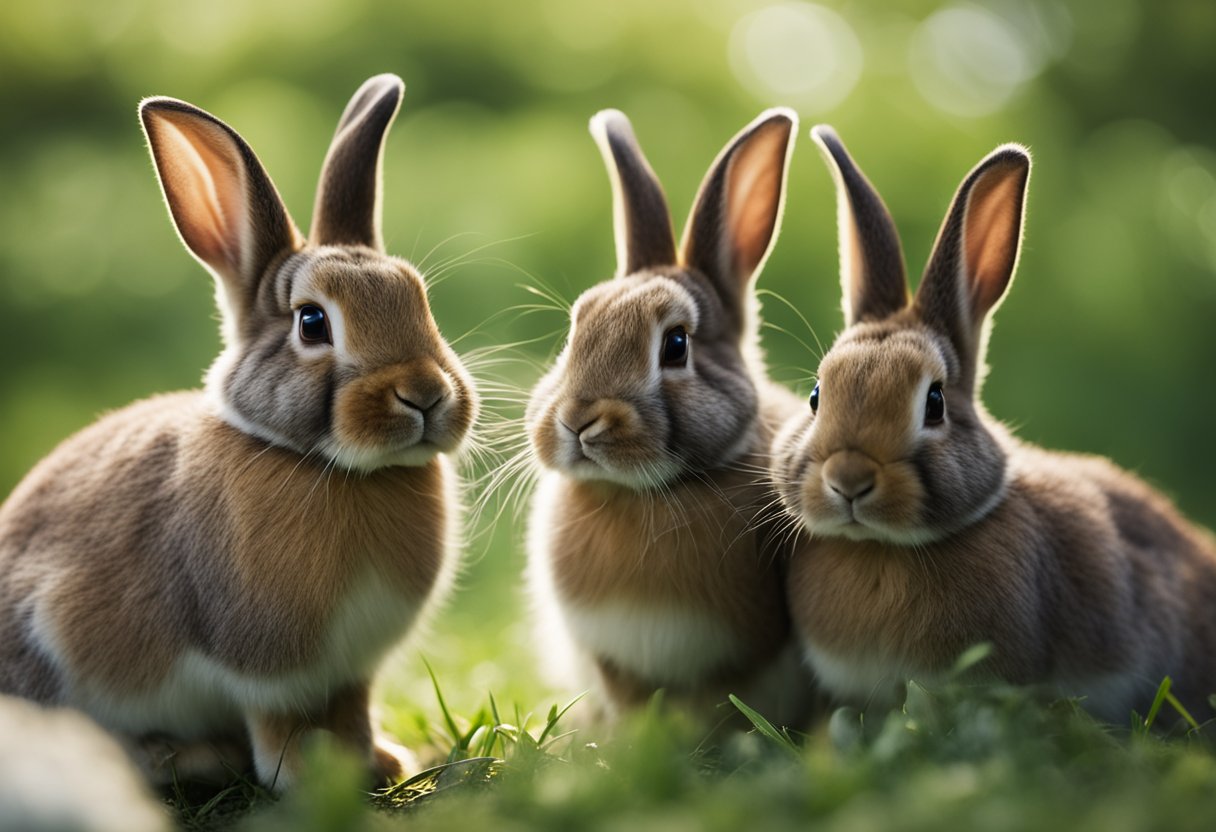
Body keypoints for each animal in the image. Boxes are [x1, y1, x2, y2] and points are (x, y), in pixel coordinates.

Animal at [0, 74, 479, 788]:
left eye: (422, 302)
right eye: (313, 323)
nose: (425, 395)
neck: (332, 468)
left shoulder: (351, 669)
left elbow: (353, 710)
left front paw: (379, 761)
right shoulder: (265, 667)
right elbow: (278, 725)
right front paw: (308, 780)